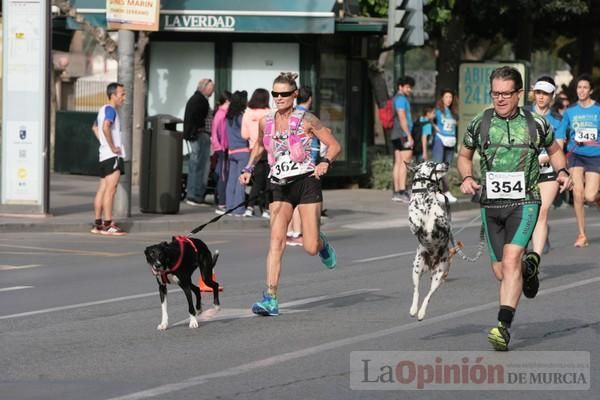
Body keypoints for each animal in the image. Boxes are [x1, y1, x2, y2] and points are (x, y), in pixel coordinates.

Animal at [406, 161, 462, 320]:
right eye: (431, 163)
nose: (447, 162)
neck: (425, 197)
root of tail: (431, 266)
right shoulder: (414, 226)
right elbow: (414, 219)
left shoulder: (445, 224)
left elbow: (440, 220)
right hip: (416, 270)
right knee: (416, 291)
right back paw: (413, 309)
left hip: (438, 277)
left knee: (428, 296)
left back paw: (421, 312)